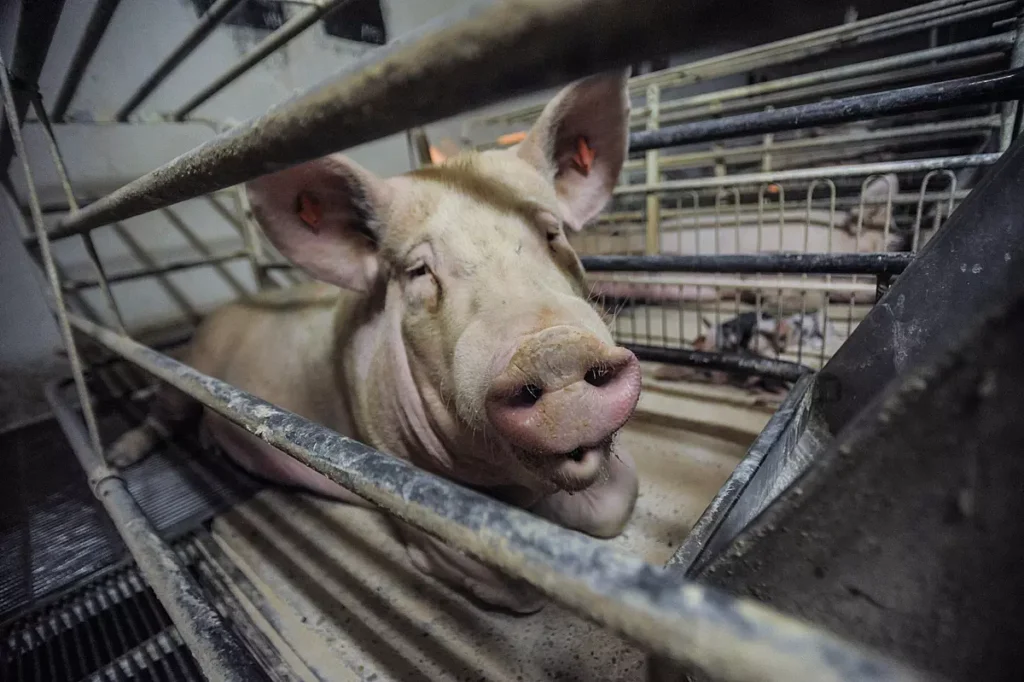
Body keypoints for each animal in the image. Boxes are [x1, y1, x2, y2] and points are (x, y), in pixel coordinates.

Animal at [108, 71, 643, 614]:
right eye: (419, 270)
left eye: (552, 233)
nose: (553, 349)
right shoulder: (403, 485)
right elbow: (517, 589)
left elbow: (620, 500)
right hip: (180, 372)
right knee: (160, 414)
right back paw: (119, 457)